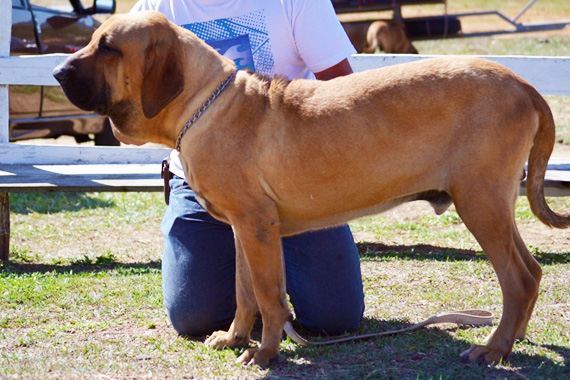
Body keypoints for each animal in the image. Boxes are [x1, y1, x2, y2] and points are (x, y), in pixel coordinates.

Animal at [54, 11, 568, 368]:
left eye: (109, 48)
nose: (57, 72)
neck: (205, 105)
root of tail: (524, 85)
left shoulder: (256, 226)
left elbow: (267, 296)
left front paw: (263, 355)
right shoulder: (245, 229)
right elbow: (245, 292)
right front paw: (234, 338)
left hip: (480, 201)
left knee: (519, 278)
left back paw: (492, 350)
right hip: (492, 203)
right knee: (531, 272)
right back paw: (511, 339)